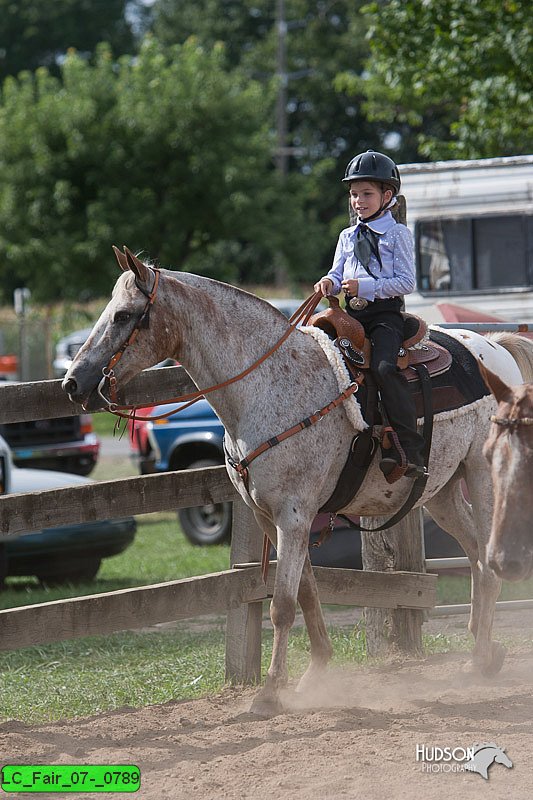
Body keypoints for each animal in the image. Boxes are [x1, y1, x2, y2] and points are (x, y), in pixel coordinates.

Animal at [63, 248, 533, 712]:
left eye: (124, 315)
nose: (72, 383)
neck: (266, 385)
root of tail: (495, 346)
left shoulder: (293, 516)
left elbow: (283, 606)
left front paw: (271, 692)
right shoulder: (274, 517)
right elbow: (306, 593)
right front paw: (314, 674)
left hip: (484, 478)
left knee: (488, 559)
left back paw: (480, 658)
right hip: (442, 492)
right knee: (477, 557)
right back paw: (484, 653)